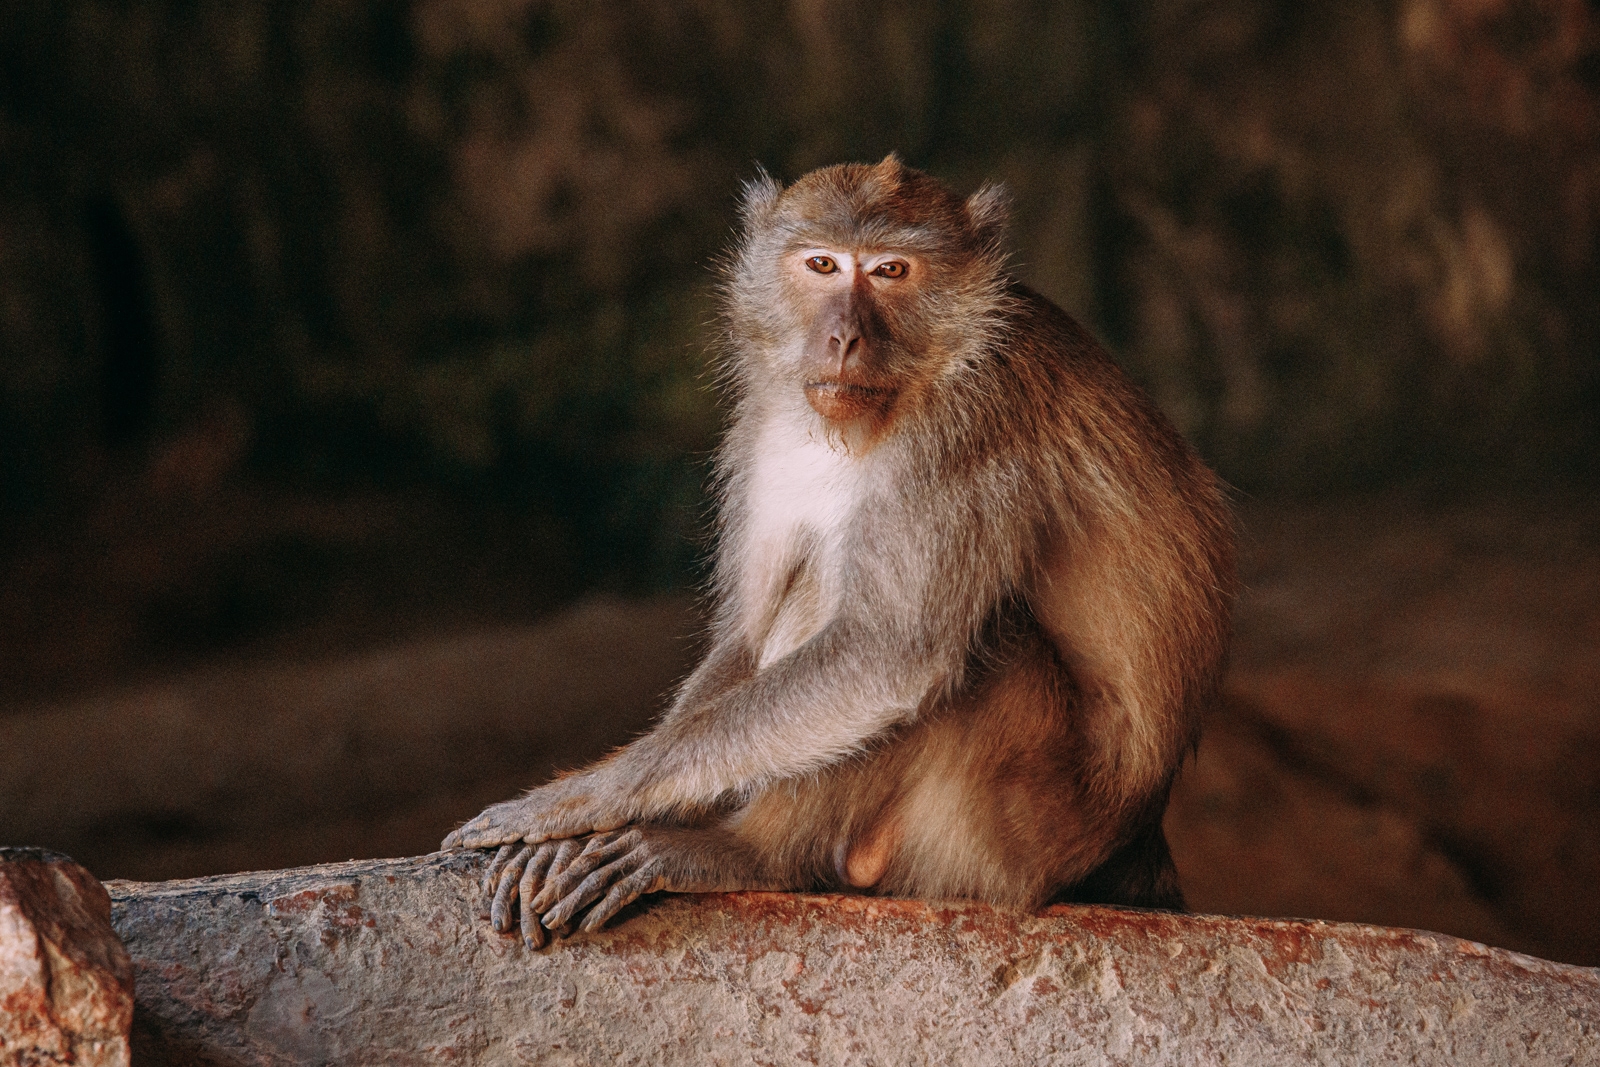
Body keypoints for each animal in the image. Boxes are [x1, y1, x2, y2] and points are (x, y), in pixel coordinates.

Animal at [441, 155, 1236, 949]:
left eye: (890, 270)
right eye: (822, 265)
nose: (844, 339)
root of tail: (1136, 844)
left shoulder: (969, 426)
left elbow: (891, 652)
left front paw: (586, 796)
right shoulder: (765, 418)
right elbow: (747, 633)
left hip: (1008, 836)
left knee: (967, 656)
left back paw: (751, 853)